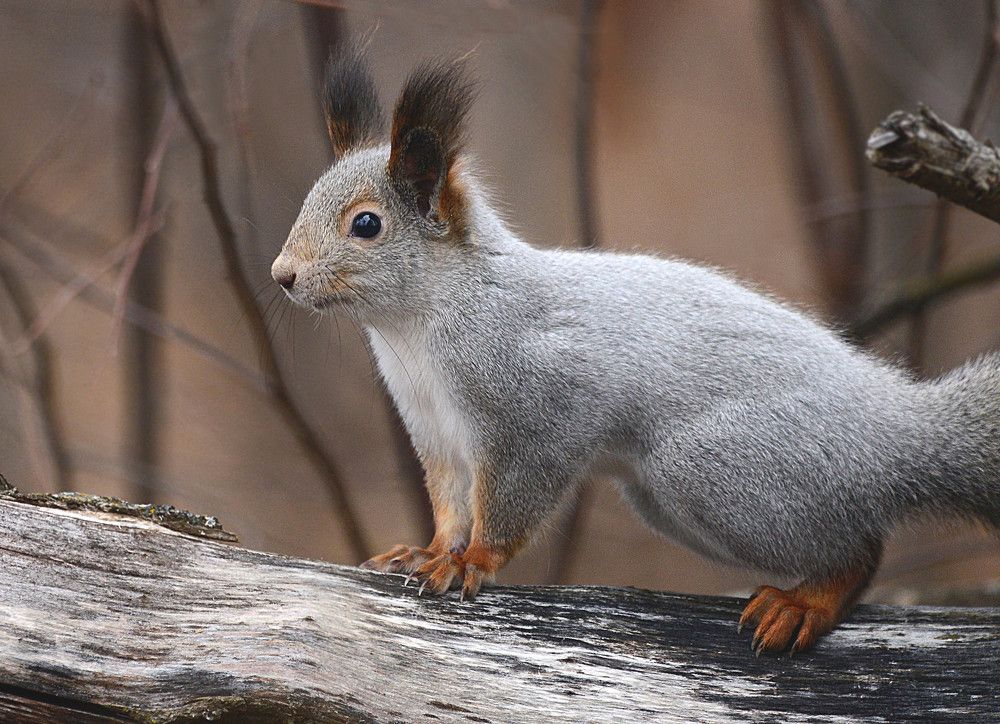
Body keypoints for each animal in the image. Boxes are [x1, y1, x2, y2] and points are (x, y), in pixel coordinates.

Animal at [271, 49, 1000, 656]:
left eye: (366, 225)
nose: (282, 275)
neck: (415, 330)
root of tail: (897, 428)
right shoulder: (435, 431)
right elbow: (450, 502)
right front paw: (424, 551)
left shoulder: (536, 412)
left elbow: (511, 500)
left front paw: (472, 561)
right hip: (670, 502)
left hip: (722, 468)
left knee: (861, 550)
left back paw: (806, 603)